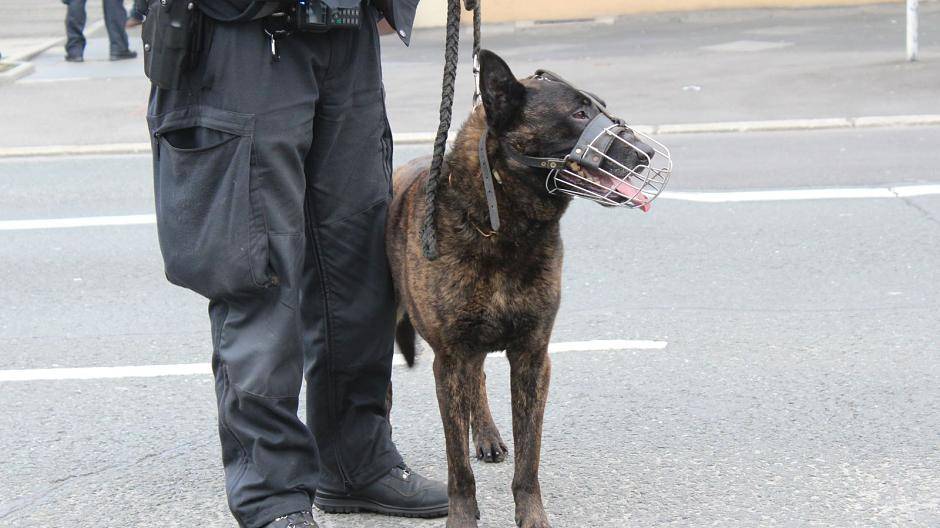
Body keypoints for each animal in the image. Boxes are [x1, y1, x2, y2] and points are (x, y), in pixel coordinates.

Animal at [386, 49, 667, 528]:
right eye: (578, 113)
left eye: (600, 106)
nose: (647, 153)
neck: (502, 231)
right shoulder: (450, 360)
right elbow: (457, 467)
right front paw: (463, 517)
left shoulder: (533, 358)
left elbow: (529, 457)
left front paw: (532, 515)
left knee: (479, 380)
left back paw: (486, 435)